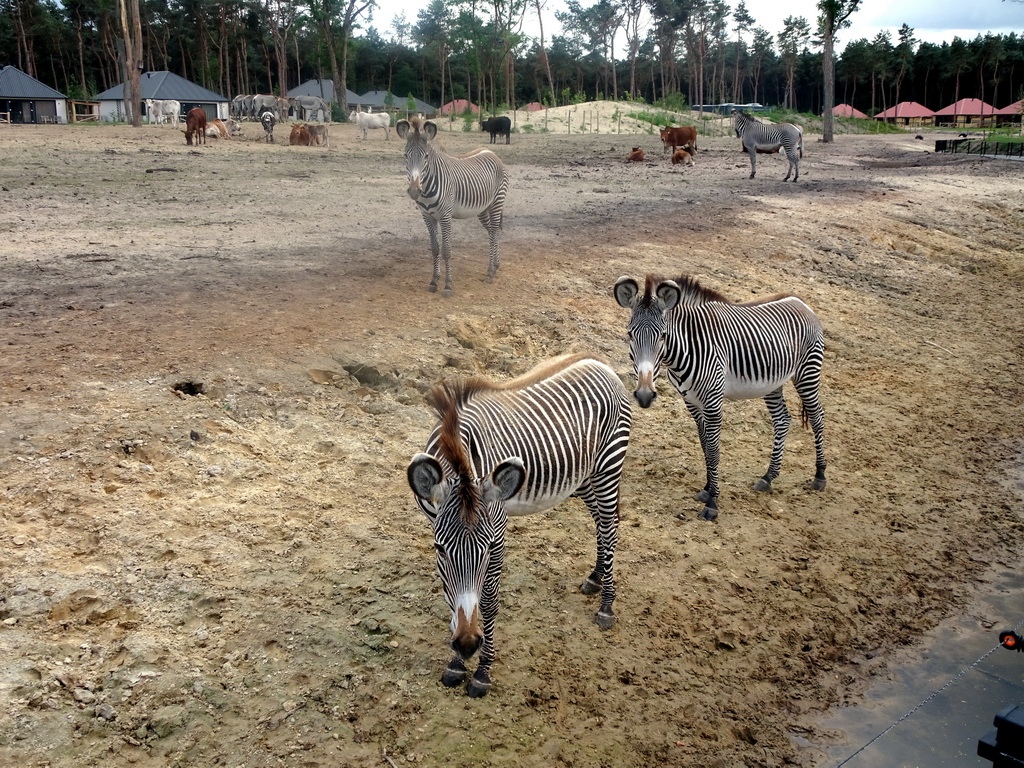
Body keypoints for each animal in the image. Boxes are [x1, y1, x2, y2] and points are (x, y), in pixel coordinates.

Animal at [391, 117, 507, 296]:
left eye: (426, 156)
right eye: (405, 156)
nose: (414, 191)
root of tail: (490, 152)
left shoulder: (445, 215)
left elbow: (446, 250)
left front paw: (447, 285)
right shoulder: (427, 216)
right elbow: (435, 248)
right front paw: (434, 281)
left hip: (497, 202)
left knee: (494, 231)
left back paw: (490, 272)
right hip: (482, 208)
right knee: (491, 231)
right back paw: (495, 265)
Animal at [407, 354, 630, 696]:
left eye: (487, 549)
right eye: (439, 549)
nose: (467, 644)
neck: (457, 454)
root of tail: (598, 362)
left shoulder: (497, 531)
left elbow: (487, 602)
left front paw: (481, 672)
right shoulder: (436, 527)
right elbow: (452, 597)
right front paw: (457, 663)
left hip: (608, 465)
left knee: (609, 527)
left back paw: (606, 605)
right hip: (582, 477)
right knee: (601, 524)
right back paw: (595, 577)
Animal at [614, 274, 823, 524]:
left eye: (663, 336)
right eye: (630, 334)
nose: (645, 395)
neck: (686, 350)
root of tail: (800, 301)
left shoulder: (713, 401)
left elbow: (713, 450)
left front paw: (712, 502)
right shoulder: (692, 402)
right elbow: (705, 444)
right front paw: (706, 489)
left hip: (807, 373)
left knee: (818, 417)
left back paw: (820, 475)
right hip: (773, 382)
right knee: (782, 420)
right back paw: (769, 476)